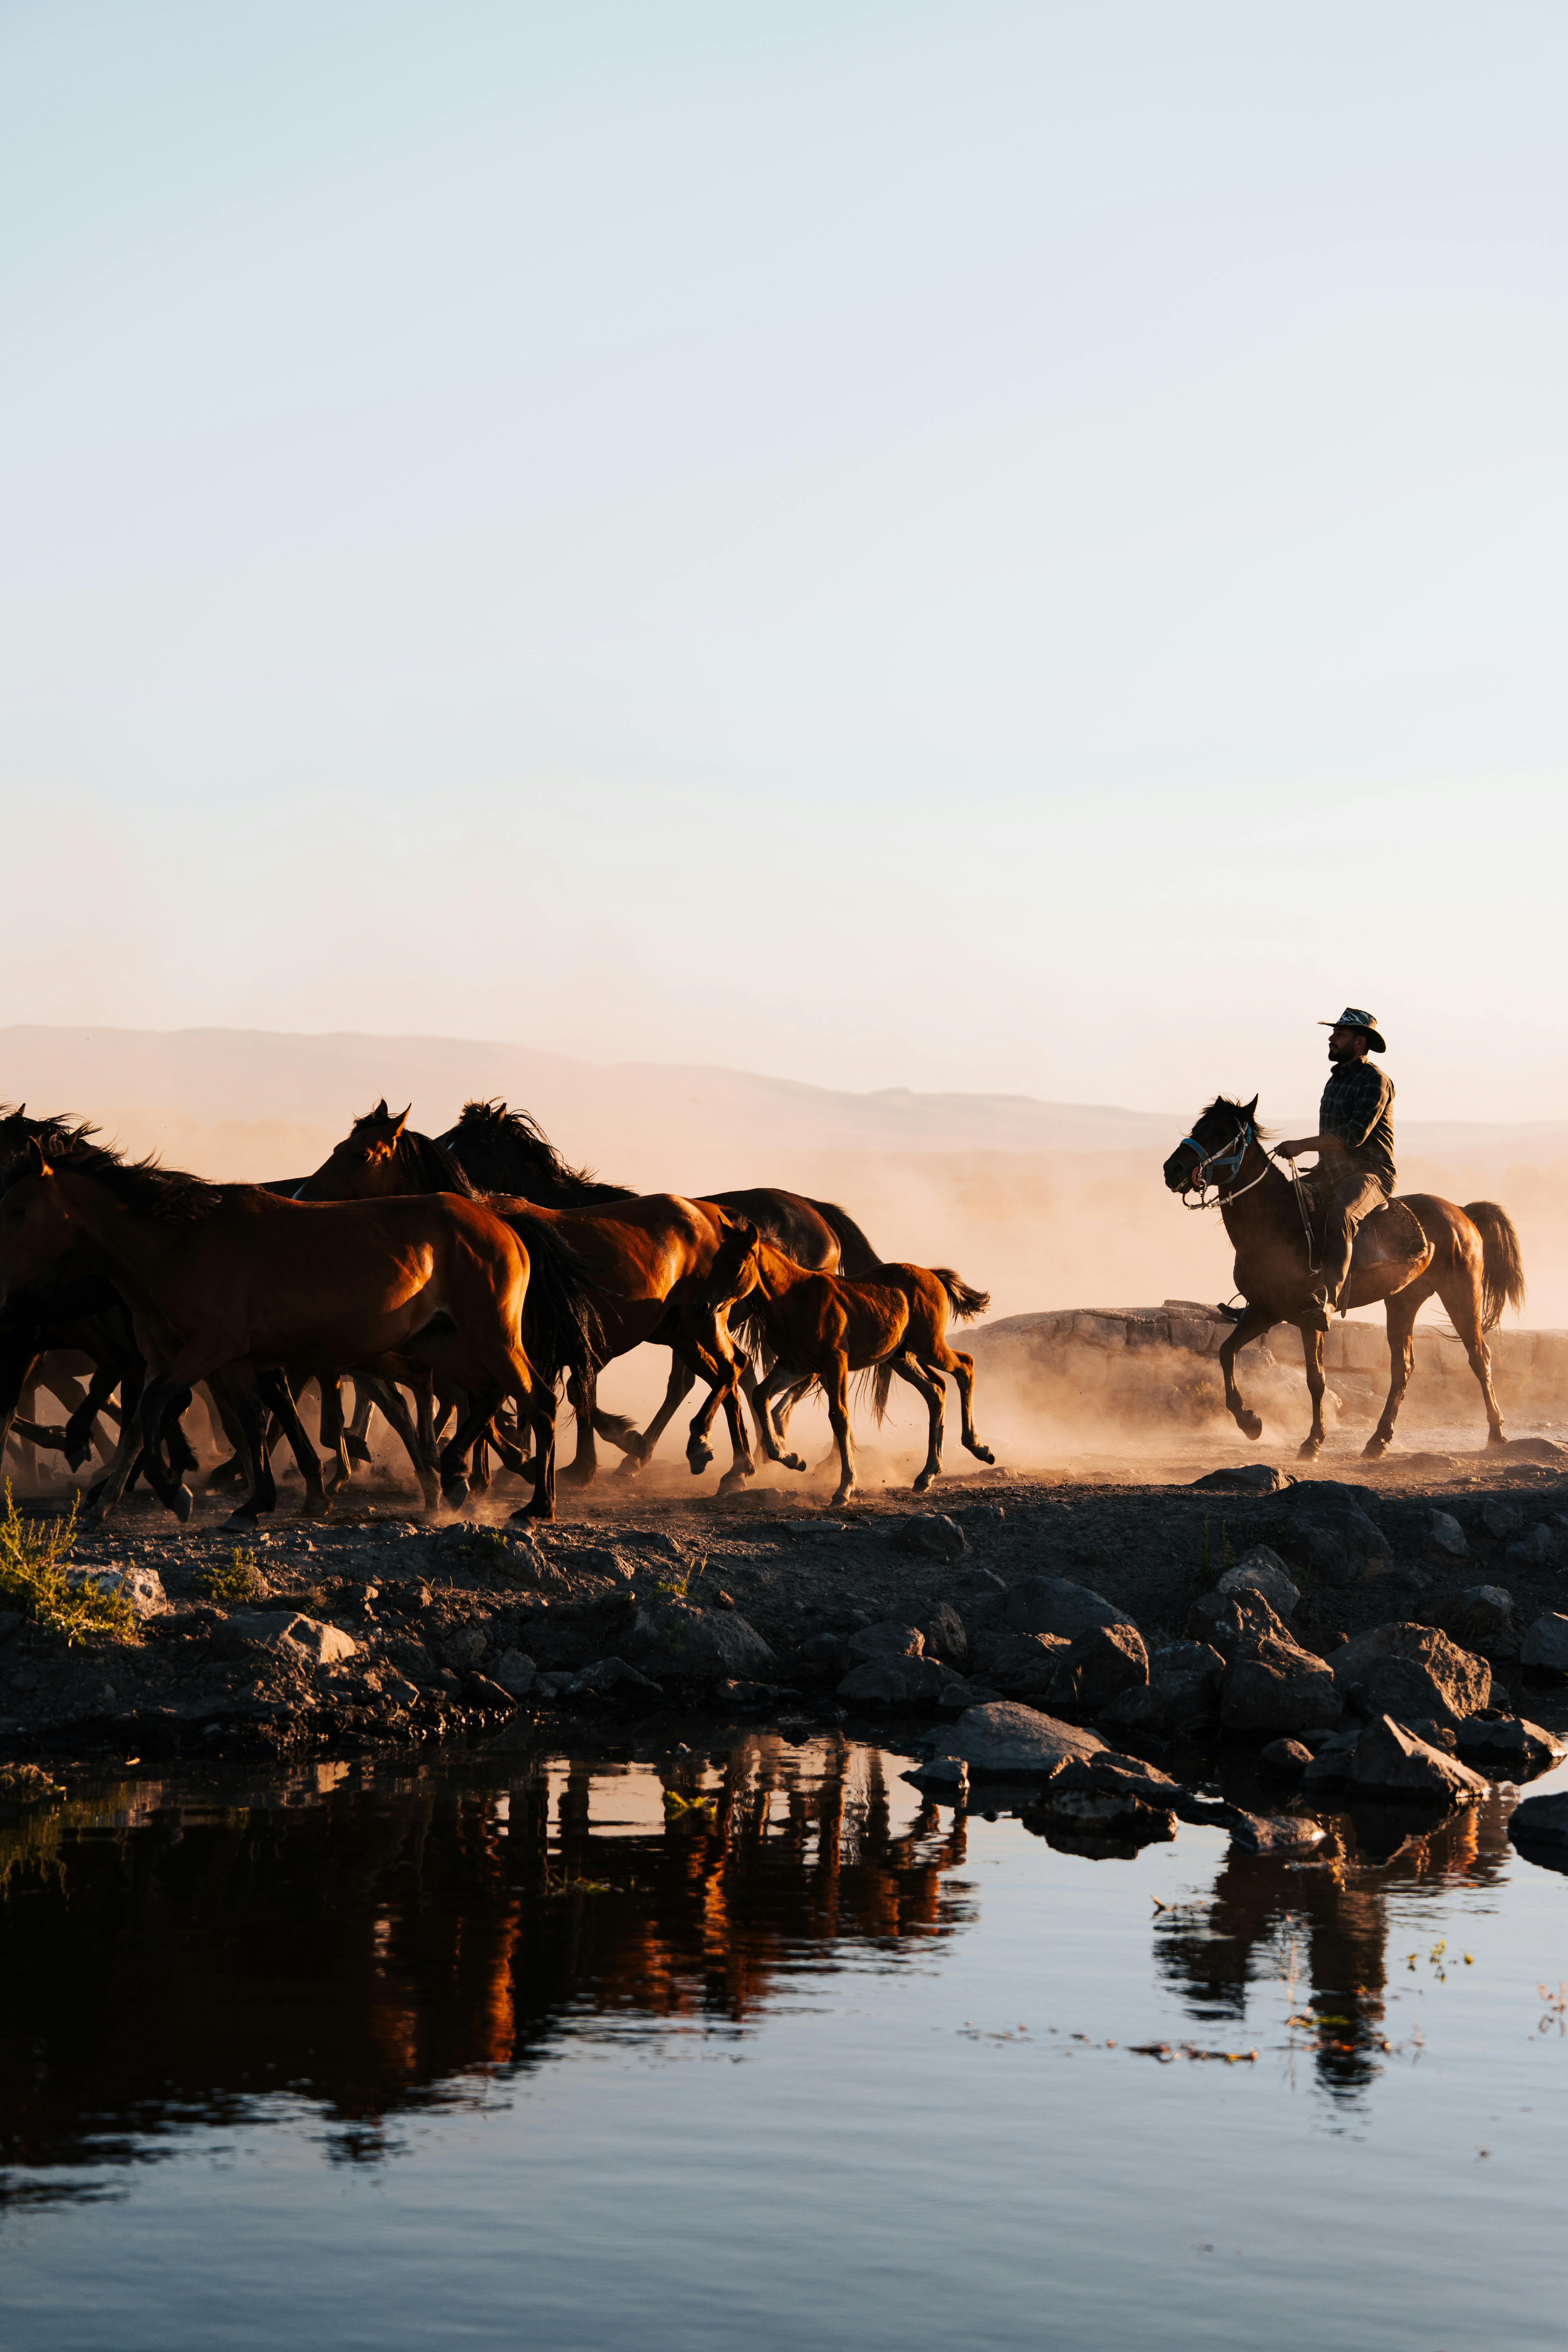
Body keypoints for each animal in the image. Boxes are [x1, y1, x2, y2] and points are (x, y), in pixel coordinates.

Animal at [0, 1143, 571, 1515]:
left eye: (19, 1208)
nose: (9, 1287)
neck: (179, 1245)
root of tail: (501, 1223)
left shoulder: (208, 1349)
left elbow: (158, 1405)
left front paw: (176, 1492)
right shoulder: (217, 1358)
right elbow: (230, 1421)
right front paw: (253, 1500)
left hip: (489, 1335)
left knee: (535, 1400)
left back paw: (533, 1504)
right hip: (441, 1340)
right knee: (484, 1394)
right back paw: (455, 1473)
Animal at [700, 1213, 992, 1505]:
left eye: (736, 1265)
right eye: (715, 1260)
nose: (706, 1306)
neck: (795, 1299)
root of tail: (932, 1274)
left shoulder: (835, 1361)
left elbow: (839, 1416)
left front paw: (844, 1488)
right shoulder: (795, 1366)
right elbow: (761, 1395)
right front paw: (792, 1459)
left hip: (929, 1346)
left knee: (965, 1366)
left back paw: (979, 1448)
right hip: (902, 1358)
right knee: (936, 1390)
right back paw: (927, 1475)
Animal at [1166, 1096, 1523, 1458]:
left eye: (1222, 1132)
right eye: (1198, 1127)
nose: (1173, 1169)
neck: (1279, 1224)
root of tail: (1462, 1213)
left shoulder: (1310, 1318)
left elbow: (1316, 1379)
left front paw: (1312, 1442)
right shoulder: (1263, 1311)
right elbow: (1226, 1353)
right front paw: (1250, 1422)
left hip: (1462, 1294)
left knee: (1479, 1357)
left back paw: (1496, 1433)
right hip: (1403, 1301)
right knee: (1403, 1368)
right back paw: (1379, 1440)